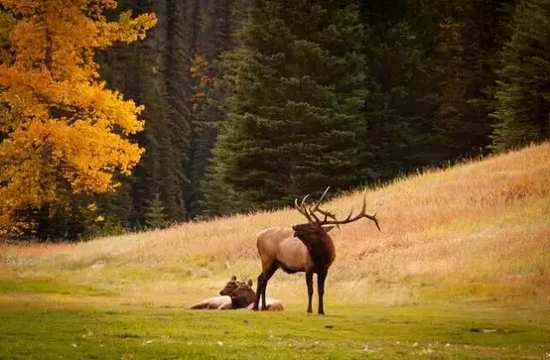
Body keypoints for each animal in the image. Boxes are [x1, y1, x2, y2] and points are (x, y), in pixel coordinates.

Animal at [253, 188, 380, 316]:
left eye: (313, 227)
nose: (295, 226)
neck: (321, 258)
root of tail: (258, 237)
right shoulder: (308, 267)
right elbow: (310, 290)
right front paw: (309, 310)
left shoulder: (324, 270)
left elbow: (321, 290)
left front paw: (321, 311)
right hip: (267, 258)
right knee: (263, 280)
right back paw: (262, 307)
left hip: (275, 263)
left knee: (260, 278)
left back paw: (255, 307)